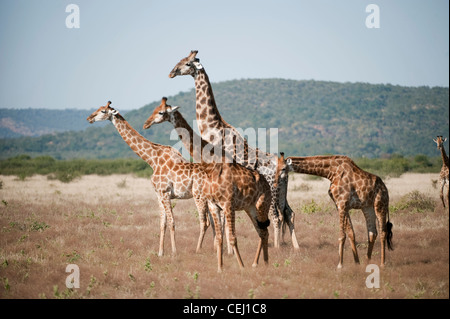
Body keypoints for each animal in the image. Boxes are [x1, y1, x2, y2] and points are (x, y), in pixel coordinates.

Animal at [87, 101, 270, 272]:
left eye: (103, 111)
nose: (89, 118)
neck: (152, 159)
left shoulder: (165, 193)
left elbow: (172, 221)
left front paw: (174, 252)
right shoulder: (158, 194)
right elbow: (162, 223)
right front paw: (160, 252)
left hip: (200, 197)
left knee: (207, 222)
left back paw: (205, 251)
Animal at [169, 50, 298, 250]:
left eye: (188, 63)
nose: (172, 72)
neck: (213, 128)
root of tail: (285, 167)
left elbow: (221, 215)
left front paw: (223, 248)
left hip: (272, 189)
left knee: (276, 216)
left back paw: (276, 247)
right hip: (283, 190)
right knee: (288, 212)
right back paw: (295, 247)